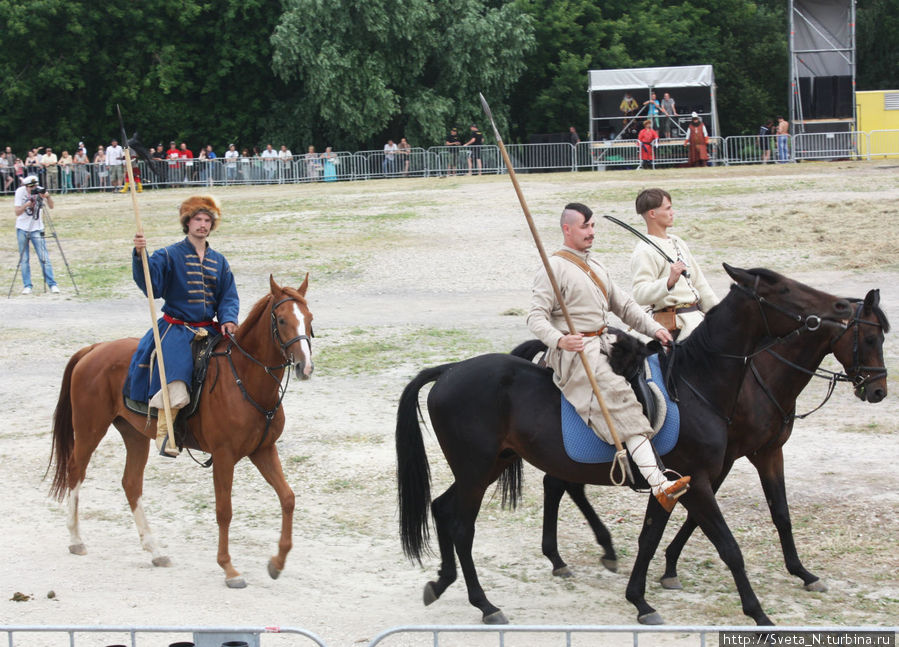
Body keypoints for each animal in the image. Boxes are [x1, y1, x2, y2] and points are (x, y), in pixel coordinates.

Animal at [51, 274, 316, 588]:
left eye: (309, 318)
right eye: (283, 320)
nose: (305, 366)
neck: (244, 377)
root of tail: (95, 348)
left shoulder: (263, 450)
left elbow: (288, 498)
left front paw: (277, 562)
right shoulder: (224, 457)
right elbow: (224, 511)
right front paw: (229, 568)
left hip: (134, 435)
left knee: (131, 483)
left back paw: (155, 550)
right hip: (90, 429)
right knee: (75, 472)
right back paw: (76, 539)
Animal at [532, 292, 888, 588]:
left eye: (882, 337)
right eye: (870, 338)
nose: (878, 391)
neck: (757, 378)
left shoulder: (768, 452)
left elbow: (781, 514)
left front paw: (802, 572)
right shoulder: (724, 459)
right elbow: (694, 513)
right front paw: (670, 566)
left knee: (559, 482)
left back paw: (577, 554)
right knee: (559, 482)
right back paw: (574, 554)